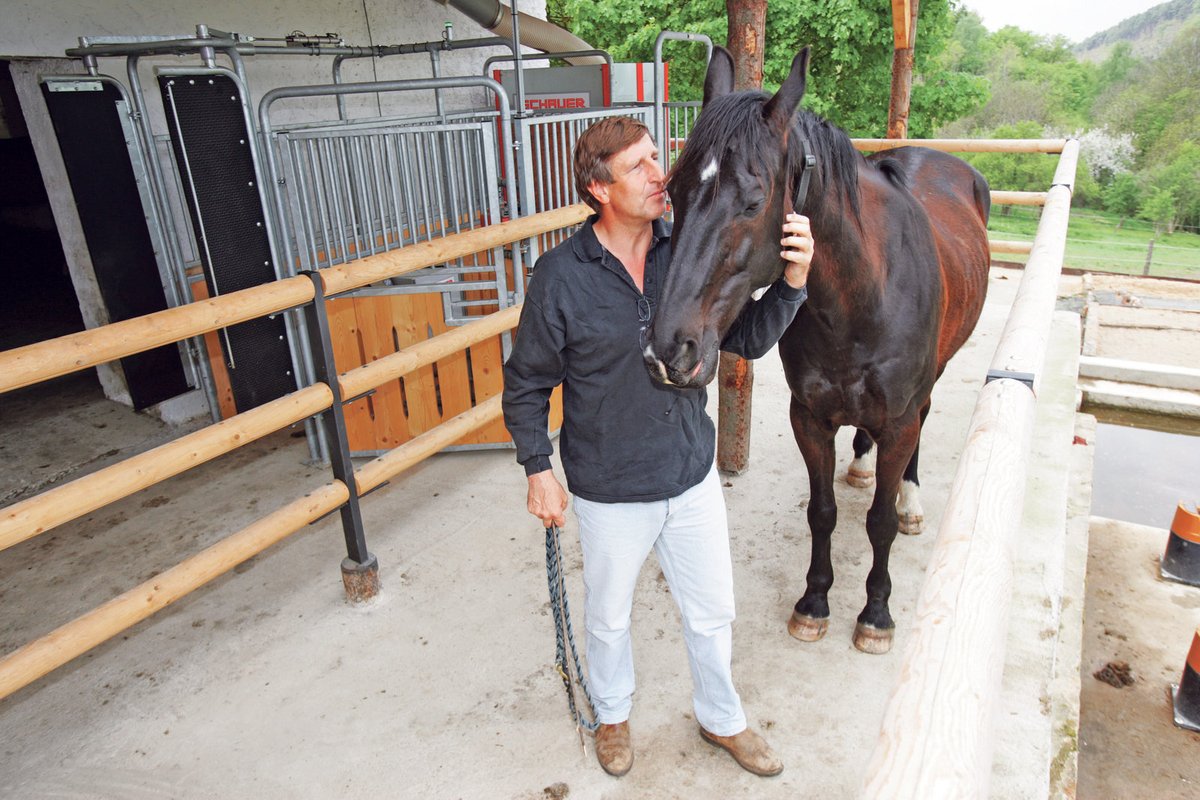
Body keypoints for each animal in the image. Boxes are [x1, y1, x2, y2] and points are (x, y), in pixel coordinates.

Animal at [643, 47, 988, 652]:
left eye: (753, 201)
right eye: (674, 190)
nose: (671, 350)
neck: (863, 299)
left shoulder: (899, 421)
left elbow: (879, 523)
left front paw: (876, 612)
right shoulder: (809, 417)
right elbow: (821, 512)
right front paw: (814, 602)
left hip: (931, 381)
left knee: (921, 424)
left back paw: (911, 501)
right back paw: (863, 465)